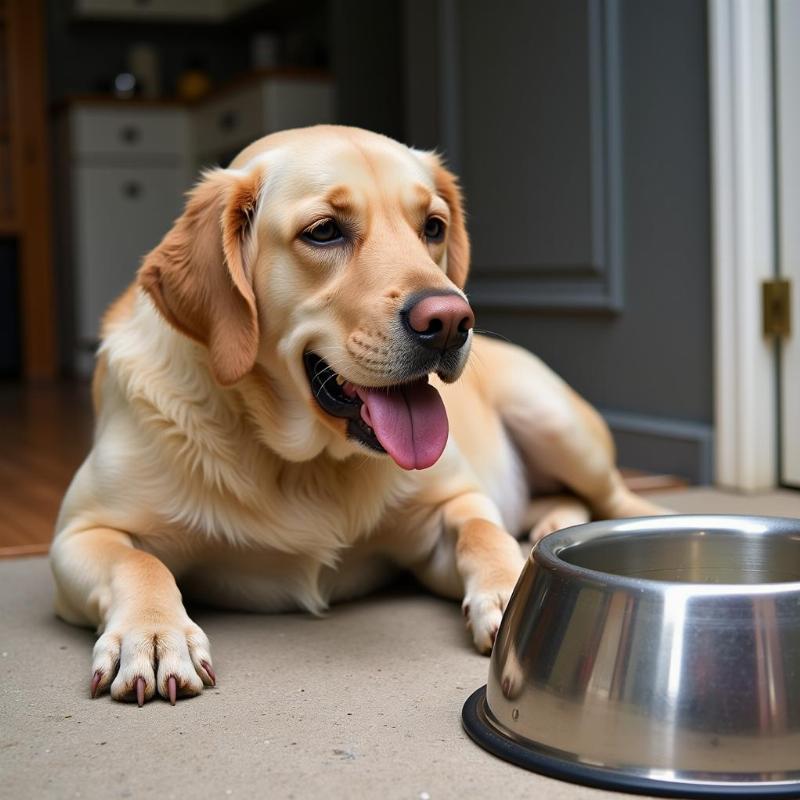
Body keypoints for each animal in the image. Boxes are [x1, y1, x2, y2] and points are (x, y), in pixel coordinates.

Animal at [48, 125, 664, 708]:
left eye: (433, 227)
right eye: (324, 231)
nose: (451, 321)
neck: (302, 462)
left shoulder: (449, 507)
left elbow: (482, 531)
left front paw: (514, 589)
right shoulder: (80, 533)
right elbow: (138, 563)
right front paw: (153, 636)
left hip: (552, 418)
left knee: (612, 496)